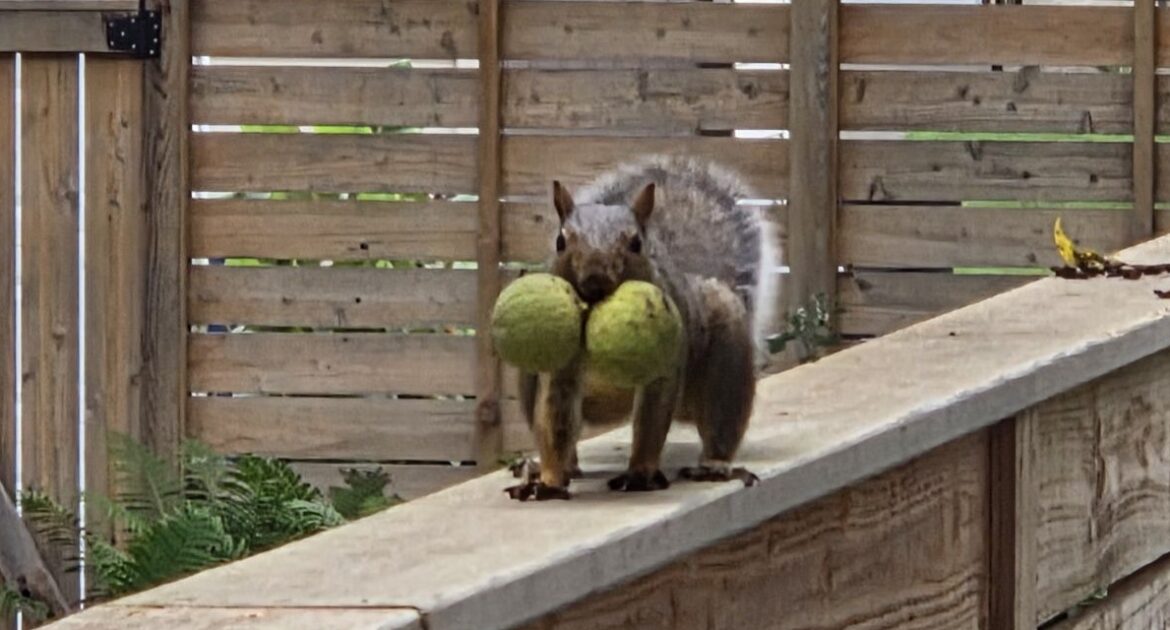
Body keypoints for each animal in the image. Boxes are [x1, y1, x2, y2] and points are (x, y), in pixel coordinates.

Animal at [505, 155, 780, 501]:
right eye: (560, 241)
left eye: (636, 243)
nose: (594, 280)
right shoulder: (559, 373)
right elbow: (555, 421)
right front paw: (551, 481)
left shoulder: (662, 370)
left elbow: (651, 423)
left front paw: (638, 475)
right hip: (529, 371)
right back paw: (550, 467)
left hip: (726, 363)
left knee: (722, 419)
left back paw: (714, 466)